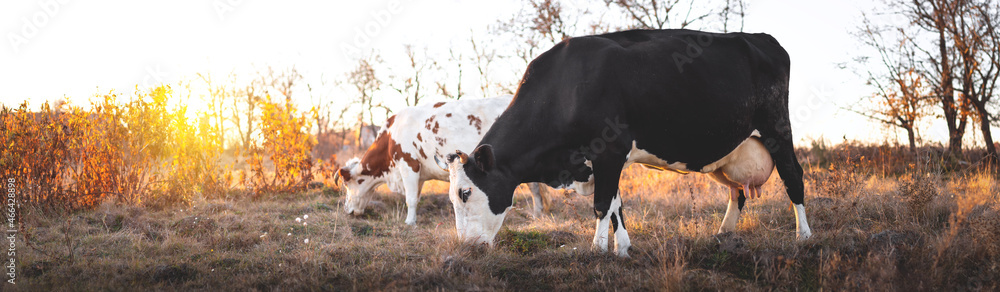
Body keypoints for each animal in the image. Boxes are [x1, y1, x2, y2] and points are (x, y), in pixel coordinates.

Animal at [336, 94, 556, 225]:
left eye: (347, 185)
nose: (347, 210)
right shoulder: (419, 173)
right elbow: (416, 197)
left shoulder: (408, 165)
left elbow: (410, 199)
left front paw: (409, 222)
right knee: (536, 187)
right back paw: (538, 214)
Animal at [438, 29, 812, 256]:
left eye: (465, 192)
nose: (466, 247)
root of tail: (761, 38)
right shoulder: (603, 159)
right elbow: (617, 205)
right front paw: (622, 248)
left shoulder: (610, 149)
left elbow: (603, 203)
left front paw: (597, 249)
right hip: (730, 152)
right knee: (737, 192)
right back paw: (723, 234)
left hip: (777, 128)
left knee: (794, 178)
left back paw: (804, 237)